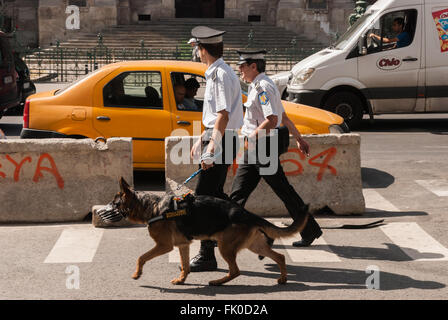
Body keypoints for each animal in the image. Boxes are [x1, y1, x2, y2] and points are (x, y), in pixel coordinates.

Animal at [99, 179, 308, 286]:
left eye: (114, 203)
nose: (101, 211)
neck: (152, 207)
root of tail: (246, 213)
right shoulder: (182, 245)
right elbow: (185, 266)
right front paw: (182, 279)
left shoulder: (164, 246)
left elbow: (141, 257)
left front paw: (137, 274)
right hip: (254, 246)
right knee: (280, 256)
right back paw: (283, 278)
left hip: (225, 247)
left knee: (236, 270)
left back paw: (217, 281)